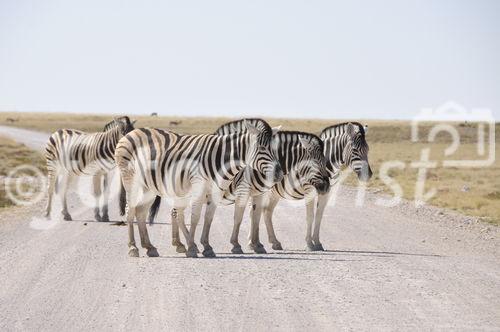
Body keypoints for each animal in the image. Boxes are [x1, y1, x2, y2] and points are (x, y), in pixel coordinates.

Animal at [114, 120, 284, 260]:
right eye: (261, 148)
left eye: (275, 150)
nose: (279, 174)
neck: (222, 160)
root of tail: (131, 133)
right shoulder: (200, 187)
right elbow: (195, 218)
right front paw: (191, 248)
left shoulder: (216, 191)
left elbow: (208, 218)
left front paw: (206, 247)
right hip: (130, 180)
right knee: (131, 211)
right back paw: (133, 248)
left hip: (148, 187)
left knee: (141, 212)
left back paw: (149, 247)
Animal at [250, 122, 372, 252]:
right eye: (354, 150)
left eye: (368, 149)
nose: (368, 175)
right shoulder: (310, 190)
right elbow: (310, 216)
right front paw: (309, 244)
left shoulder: (326, 192)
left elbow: (319, 216)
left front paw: (317, 242)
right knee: (254, 212)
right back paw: (253, 243)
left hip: (274, 193)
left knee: (265, 211)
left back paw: (272, 242)